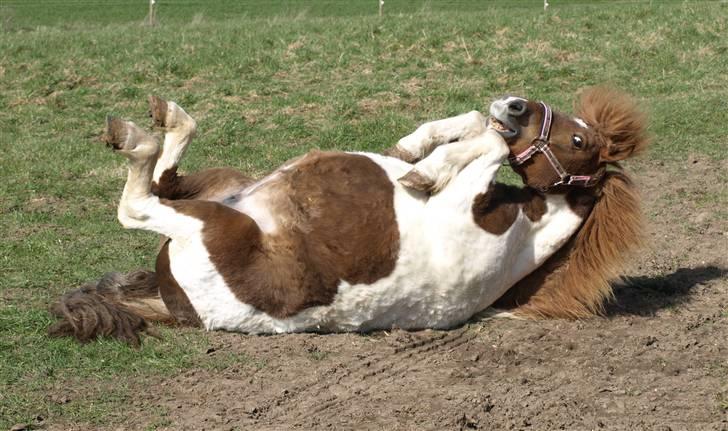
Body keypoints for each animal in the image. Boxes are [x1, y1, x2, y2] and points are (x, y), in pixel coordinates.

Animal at [49, 86, 648, 346]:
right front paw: (415, 149)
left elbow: (491, 143)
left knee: (140, 202)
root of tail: (177, 303)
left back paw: (134, 136)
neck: (522, 230)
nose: (517, 104)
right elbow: (480, 127)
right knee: (167, 174)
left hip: (213, 222)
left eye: (579, 141)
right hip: (225, 187)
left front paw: (423, 171)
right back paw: (165, 116)